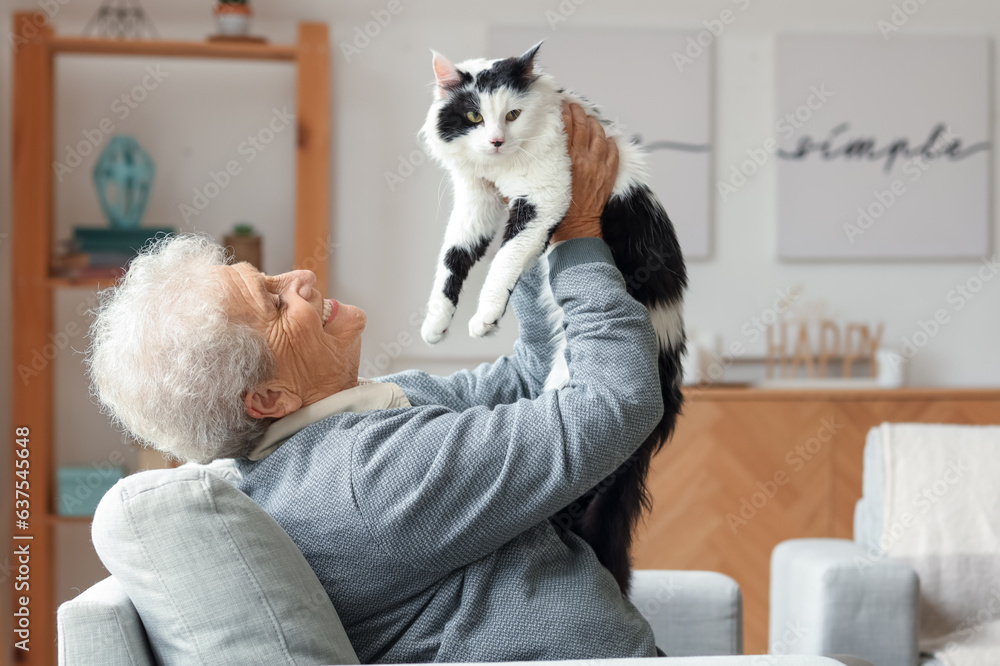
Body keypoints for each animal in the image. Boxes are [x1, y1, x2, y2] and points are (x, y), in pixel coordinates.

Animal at [416, 42, 688, 592]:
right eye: (474, 117)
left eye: (512, 115)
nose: (496, 141)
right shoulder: (477, 200)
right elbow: (453, 259)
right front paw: (437, 324)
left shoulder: (543, 197)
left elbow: (504, 259)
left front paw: (485, 317)